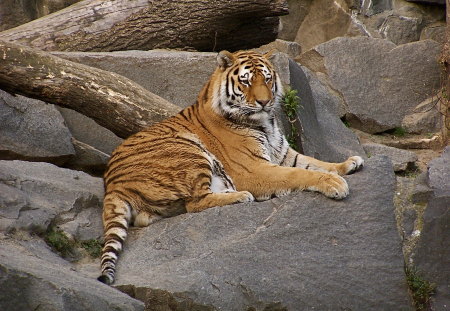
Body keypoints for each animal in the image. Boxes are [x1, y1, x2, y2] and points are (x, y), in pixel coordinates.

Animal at [96, 49, 364, 286]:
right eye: (246, 82)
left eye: (267, 78)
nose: (265, 102)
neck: (266, 123)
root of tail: (112, 186)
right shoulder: (254, 170)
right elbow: (300, 173)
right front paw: (335, 184)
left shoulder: (284, 155)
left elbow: (315, 163)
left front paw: (350, 163)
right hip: (190, 152)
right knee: (195, 203)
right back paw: (239, 196)